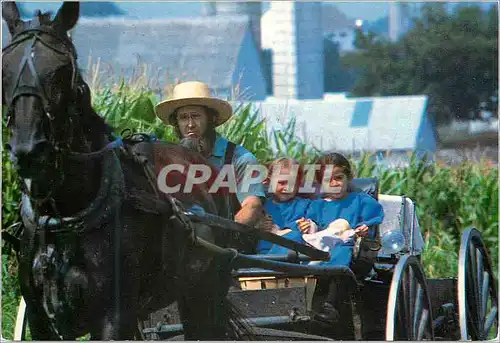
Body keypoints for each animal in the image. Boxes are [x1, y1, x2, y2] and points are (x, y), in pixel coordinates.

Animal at [0, 1, 254, 342]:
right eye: (5, 68)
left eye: (61, 71)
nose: (29, 150)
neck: (65, 214)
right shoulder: (41, 321)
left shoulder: (112, 318)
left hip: (206, 289)